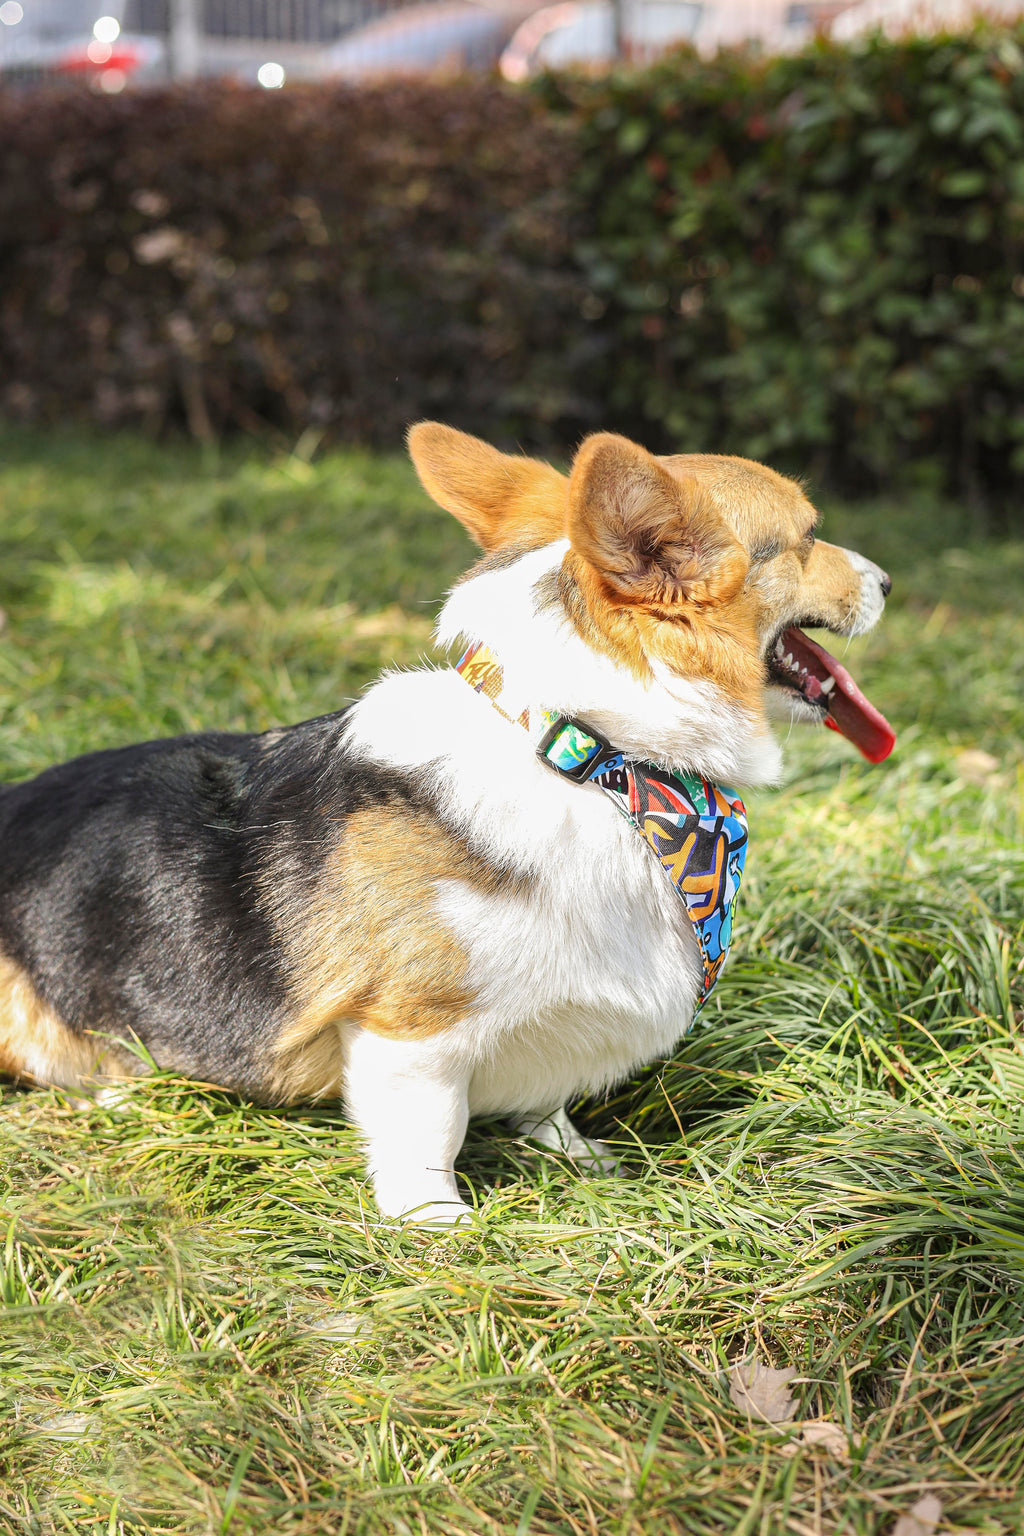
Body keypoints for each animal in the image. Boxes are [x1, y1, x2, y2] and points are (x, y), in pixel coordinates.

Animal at [0, 423, 896, 1222]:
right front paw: (437, 1226)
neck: (595, 763)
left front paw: (577, 1157)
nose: (888, 580)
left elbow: (547, 1103)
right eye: (807, 538)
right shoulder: (411, 1033)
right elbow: (429, 1131)